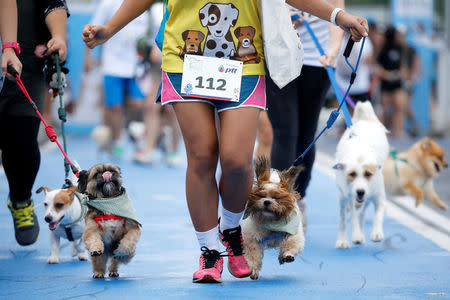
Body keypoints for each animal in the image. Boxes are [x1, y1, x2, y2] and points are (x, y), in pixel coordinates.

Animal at [332, 102, 388, 247]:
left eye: (368, 174)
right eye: (352, 174)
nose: (360, 191)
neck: (360, 155)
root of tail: (365, 120)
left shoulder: (379, 196)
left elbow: (378, 215)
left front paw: (376, 233)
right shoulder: (348, 196)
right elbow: (352, 217)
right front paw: (353, 235)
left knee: (362, 212)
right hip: (342, 196)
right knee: (343, 216)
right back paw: (344, 239)